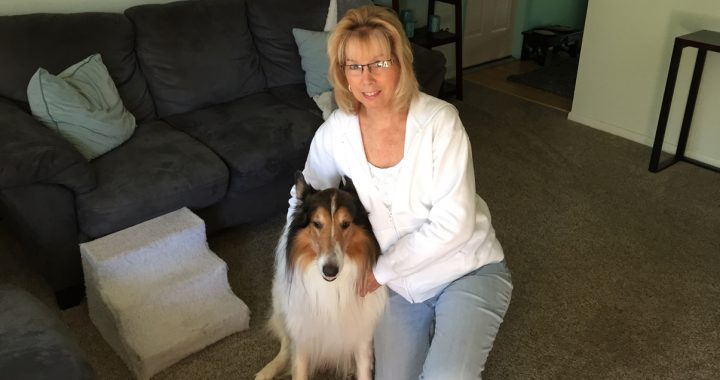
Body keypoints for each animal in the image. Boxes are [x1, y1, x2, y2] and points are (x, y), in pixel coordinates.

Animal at [255, 173, 388, 380]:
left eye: (345, 224)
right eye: (317, 224)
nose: (330, 271)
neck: (331, 287)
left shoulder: (362, 337)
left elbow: (364, 371)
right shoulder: (302, 336)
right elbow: (297, 366)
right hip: (281, 306)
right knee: (285, 345)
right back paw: (268, 370)